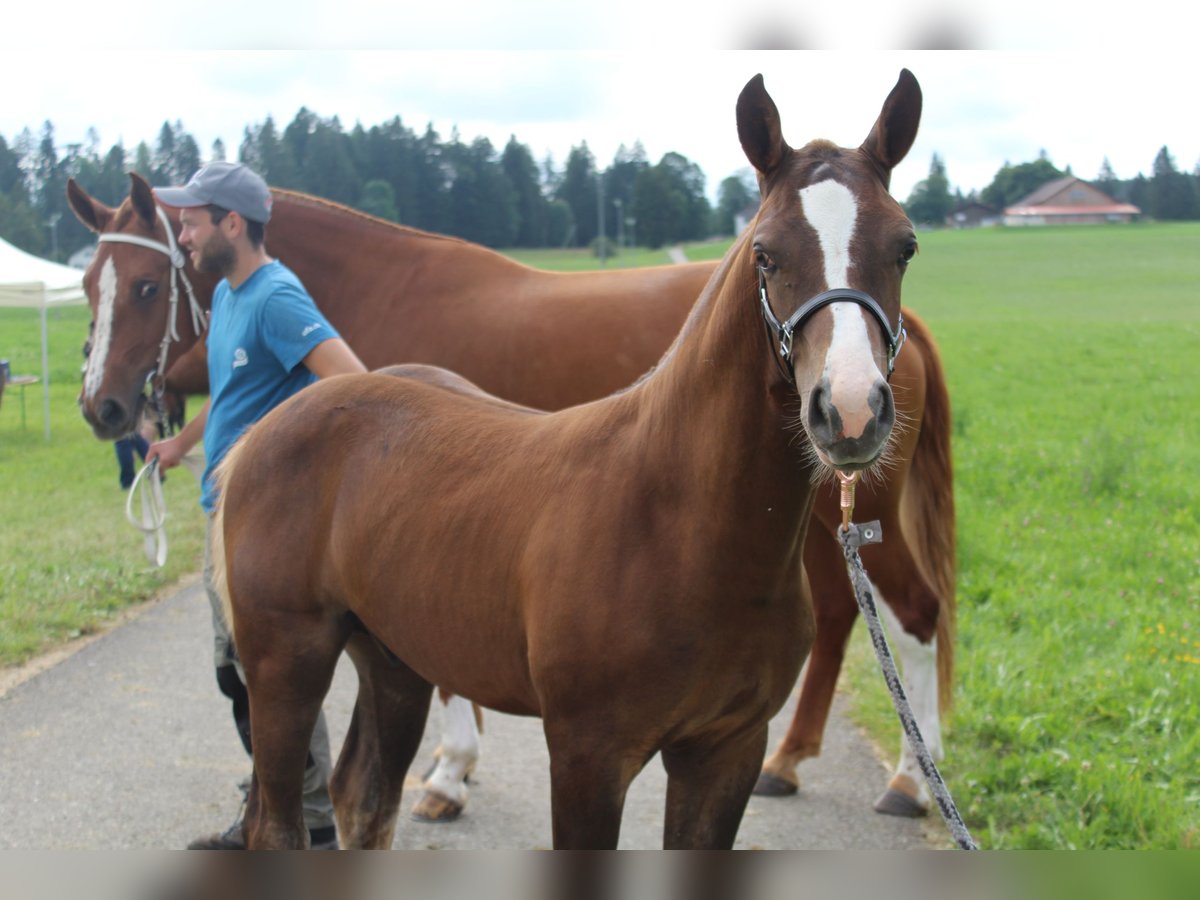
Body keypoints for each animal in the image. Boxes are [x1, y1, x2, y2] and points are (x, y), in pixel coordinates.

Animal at [68, 74, 955, 820]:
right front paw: (451, 772)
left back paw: (910, 780)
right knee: (849, 613)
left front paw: (450, 773)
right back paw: (796, 761)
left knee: (913, 614)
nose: (102, 405)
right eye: (87, 284)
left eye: (146, 286)